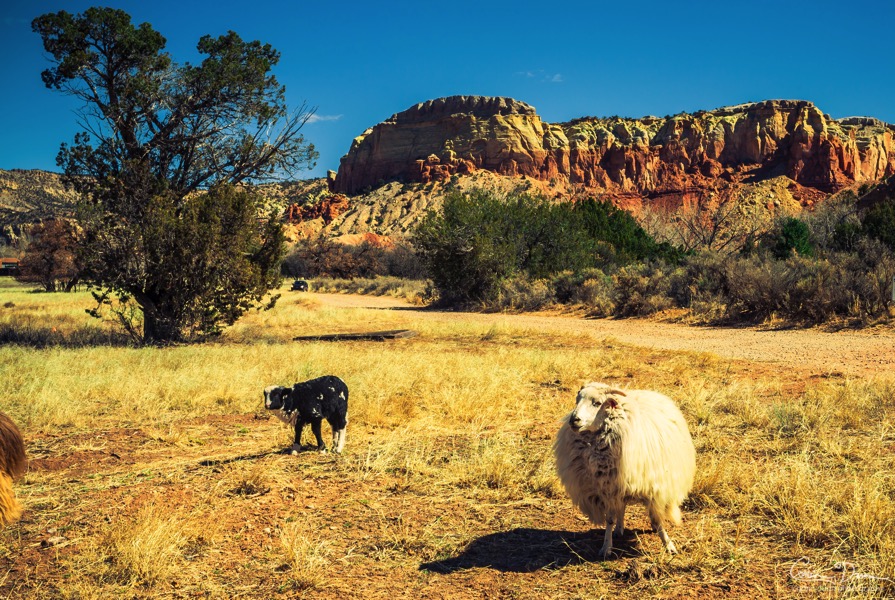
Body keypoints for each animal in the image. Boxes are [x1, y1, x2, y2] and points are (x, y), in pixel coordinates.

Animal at [552, 384, 700, 556]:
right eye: (577, 400)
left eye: (597, 403)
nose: (574, 420)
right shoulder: (608, 489)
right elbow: (610, 519)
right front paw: (607, 547)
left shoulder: (652, 488)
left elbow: (657, 519)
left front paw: (668, 544)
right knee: (621, 507)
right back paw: (619, 528)